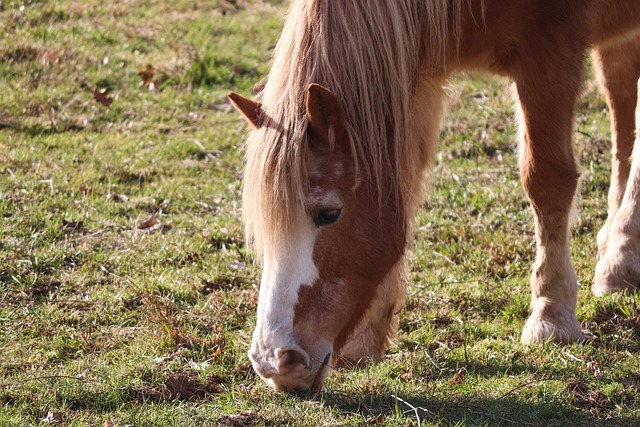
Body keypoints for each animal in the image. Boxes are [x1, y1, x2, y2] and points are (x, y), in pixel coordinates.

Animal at [228, 0, 640, 392]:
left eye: (329, 214)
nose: (274, 363)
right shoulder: (414, 75)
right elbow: (404, 185)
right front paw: (368, 336)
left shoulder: (551, 50)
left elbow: (546, 181)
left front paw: (551, 315)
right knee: (621, 99)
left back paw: (621, 256)